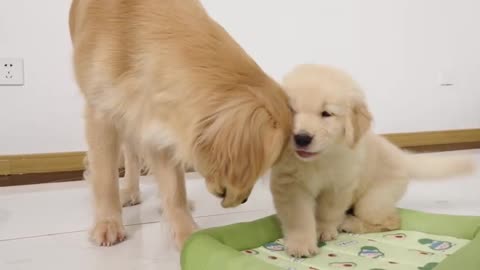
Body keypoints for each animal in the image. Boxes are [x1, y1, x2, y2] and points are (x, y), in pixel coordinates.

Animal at [69, 0, 290, 249]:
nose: (243, 200)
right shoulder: (102, 113)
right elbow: (105, 178)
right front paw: (107, 223)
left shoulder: (158, 125)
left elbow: (174, 188)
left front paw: (188, 233)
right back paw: (129, 192)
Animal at [272, 63, 474, 258]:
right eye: (292, 110)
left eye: (326, 114)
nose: (301, 138)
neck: (319, 159)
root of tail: (400, 155)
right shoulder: (290, 185)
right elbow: (299, 218)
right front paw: (300, 244)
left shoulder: (339, 185)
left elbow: (327, 211)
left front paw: (323, 229)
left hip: (372, 202)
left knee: (393, 220)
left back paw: (349, 223)